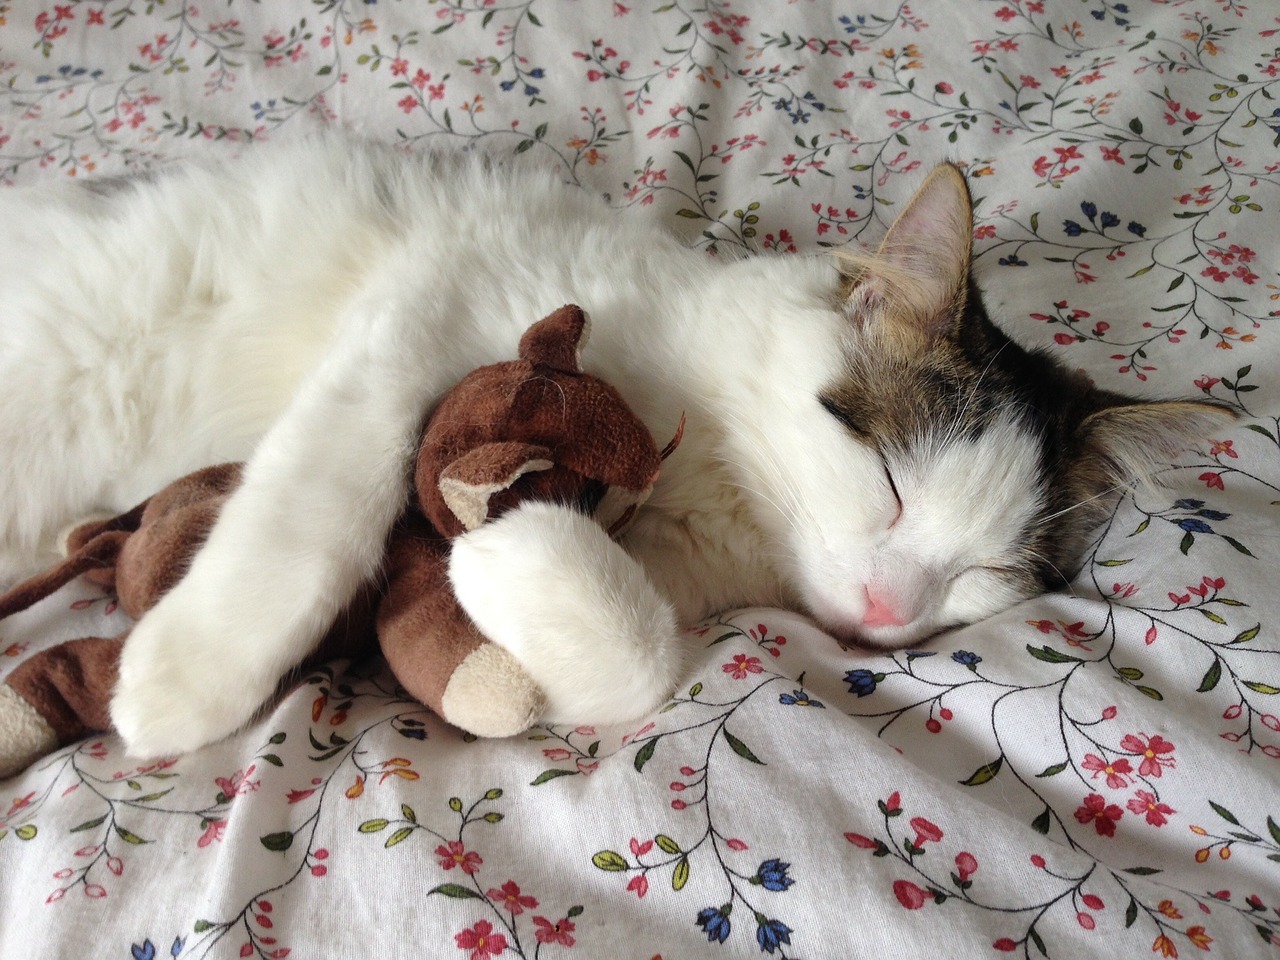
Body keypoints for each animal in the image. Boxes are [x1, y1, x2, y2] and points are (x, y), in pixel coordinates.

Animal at [0, 140, 1223, 757]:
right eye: (887, 483)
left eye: (983, 578)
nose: (886, 613)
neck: (716, 487)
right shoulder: (429, 311)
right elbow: (311, 516)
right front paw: (185, 679)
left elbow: (635, 660)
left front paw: (504, 555)